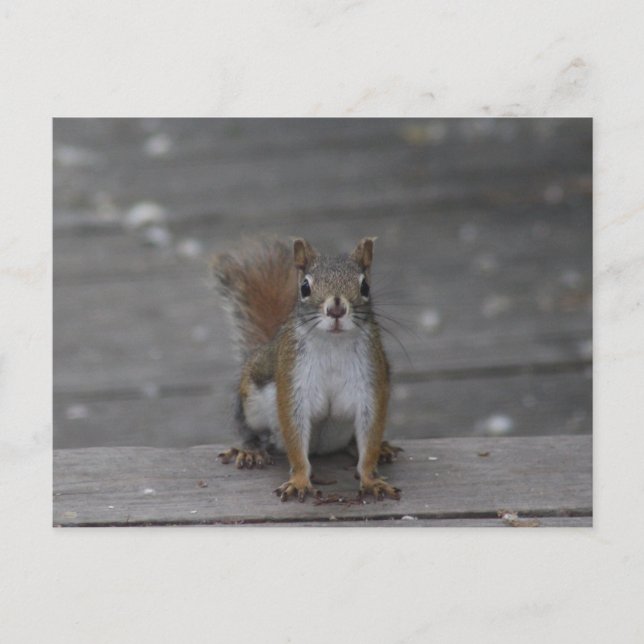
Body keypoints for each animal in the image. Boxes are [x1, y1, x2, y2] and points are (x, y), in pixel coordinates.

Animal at [211, 236, 401, 502]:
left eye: (365, 287)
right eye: (304, 287)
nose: (336, 309)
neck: (333, 344)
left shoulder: (372, 385)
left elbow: (369, 435)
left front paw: (371, 478)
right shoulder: (293, 384)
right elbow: (294, 434)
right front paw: (299, 480)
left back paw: (377, 449)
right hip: (251, 399)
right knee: (250, 429)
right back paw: (250, 450)